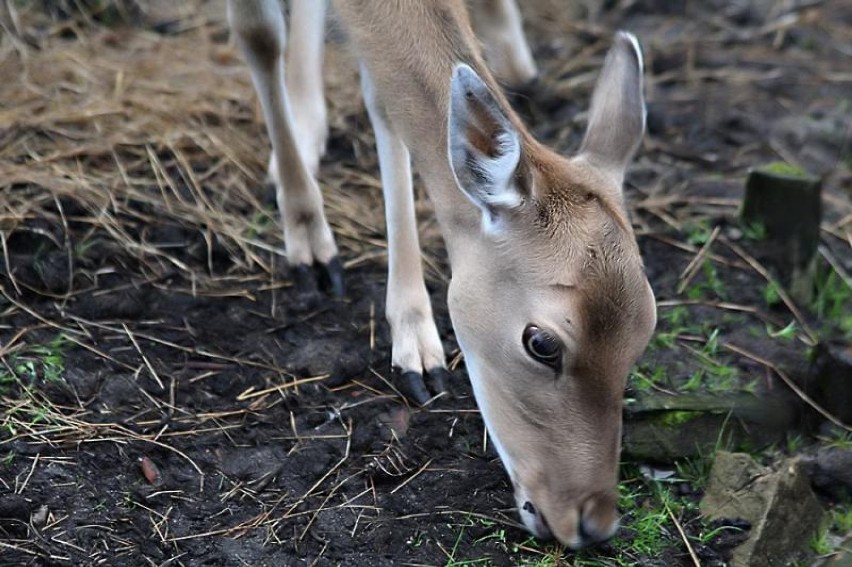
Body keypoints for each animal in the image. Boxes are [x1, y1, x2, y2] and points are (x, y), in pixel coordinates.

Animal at [226, 0, 652, 552]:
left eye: (642, 340)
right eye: (541, 343)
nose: (592, 522)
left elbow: (383, 102)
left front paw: (416, 344)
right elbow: (258, 35)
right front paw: (310, 247)